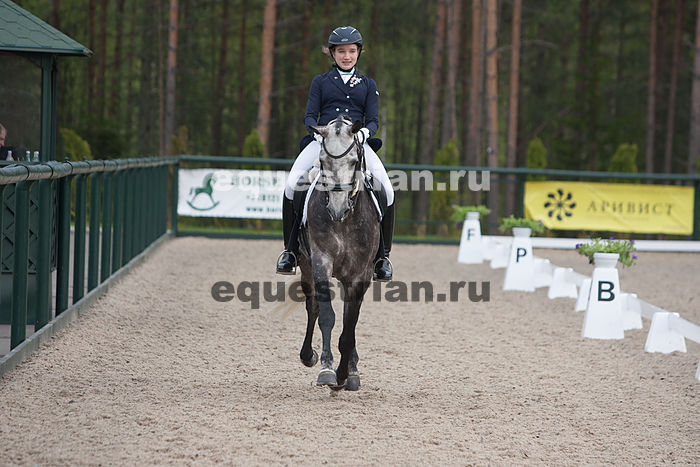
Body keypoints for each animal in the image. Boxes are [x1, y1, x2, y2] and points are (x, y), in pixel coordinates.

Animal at [296, 115, 381, 391]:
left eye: (354, 161)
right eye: (322, 161)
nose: (336, 208)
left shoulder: (360, 274)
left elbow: (349, 326)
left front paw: (346, 374)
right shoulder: (321, 262)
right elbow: (327, 318)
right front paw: (328, 371)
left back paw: (352, 369)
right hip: (306, 266)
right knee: (313, 307)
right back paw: (308, 356)